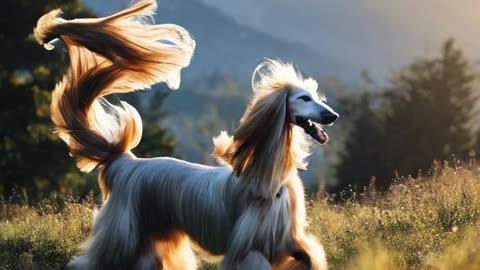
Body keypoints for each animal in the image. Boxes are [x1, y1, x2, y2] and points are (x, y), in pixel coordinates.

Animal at [35, 1, 338, 268]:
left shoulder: (285, 240)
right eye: (304, 98)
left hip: (154, 239)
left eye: (317, 97)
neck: (269, 174)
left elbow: (308, 256)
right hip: (123, 235)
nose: (332, 116)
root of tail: (124, 162)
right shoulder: (250, 248)